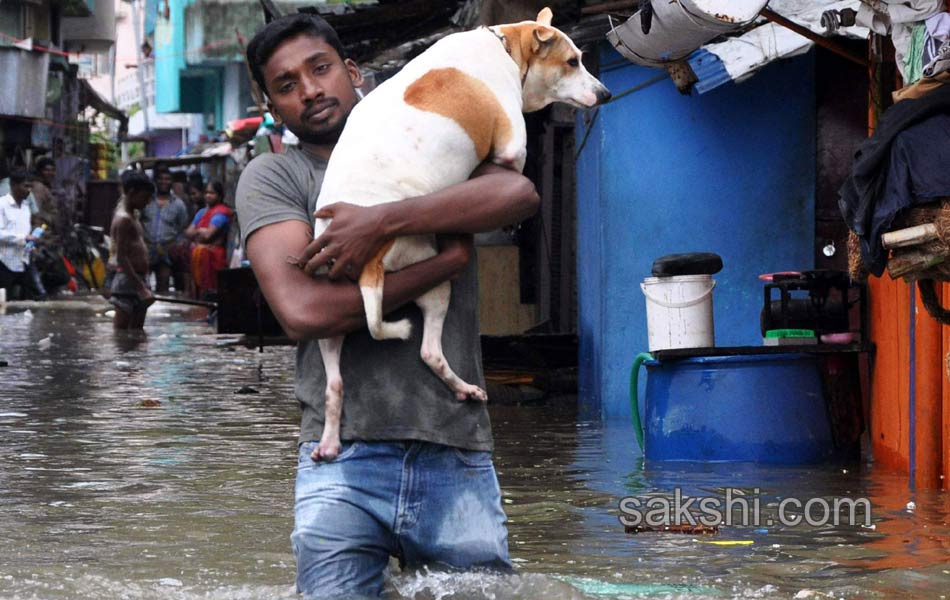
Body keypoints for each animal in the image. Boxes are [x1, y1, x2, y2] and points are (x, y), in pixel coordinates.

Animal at [312, 5, 608, 460]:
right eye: (573, 62)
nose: (606, 93)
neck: (506, 44)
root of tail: (370, 262)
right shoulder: (511, 151)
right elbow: (505, 160)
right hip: (433, 282)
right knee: (429, 352)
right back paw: (466, 388)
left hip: (330, 316)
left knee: (334, 384)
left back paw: (328, 441)